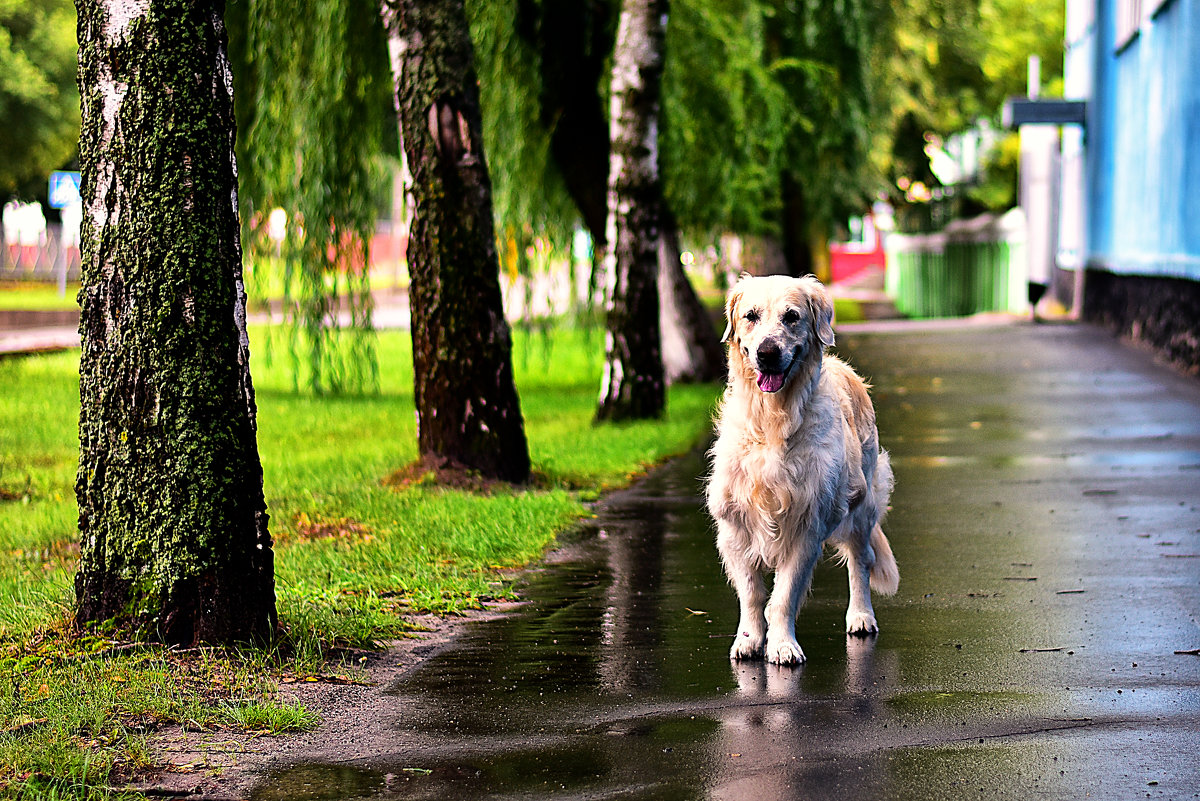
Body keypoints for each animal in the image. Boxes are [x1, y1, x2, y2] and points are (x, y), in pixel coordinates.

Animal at [700, 275, 902, 661]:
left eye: (792, 316)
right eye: (750, 316)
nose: (767, 352)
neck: (772, 420)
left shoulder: (807, 524)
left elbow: (784, 596)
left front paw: (782, 645)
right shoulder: (734, 526)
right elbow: (752, 593)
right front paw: (748, 640)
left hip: (863, 503)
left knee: (861, 560)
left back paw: (861, 616)